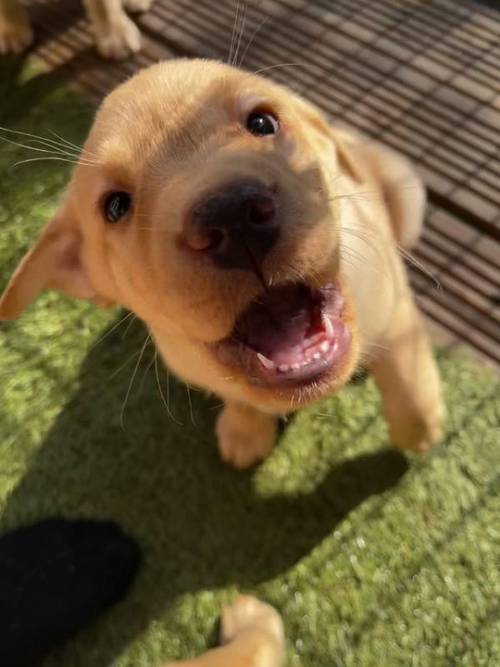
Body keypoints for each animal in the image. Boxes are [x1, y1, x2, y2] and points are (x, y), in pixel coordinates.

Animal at [0, 60, 444, 470]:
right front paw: (245, 432)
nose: (231, 215)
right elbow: (241, 398)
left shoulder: (396, 312)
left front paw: (421, 432)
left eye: (262, 122)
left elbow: (409, 386)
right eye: (115, 206)